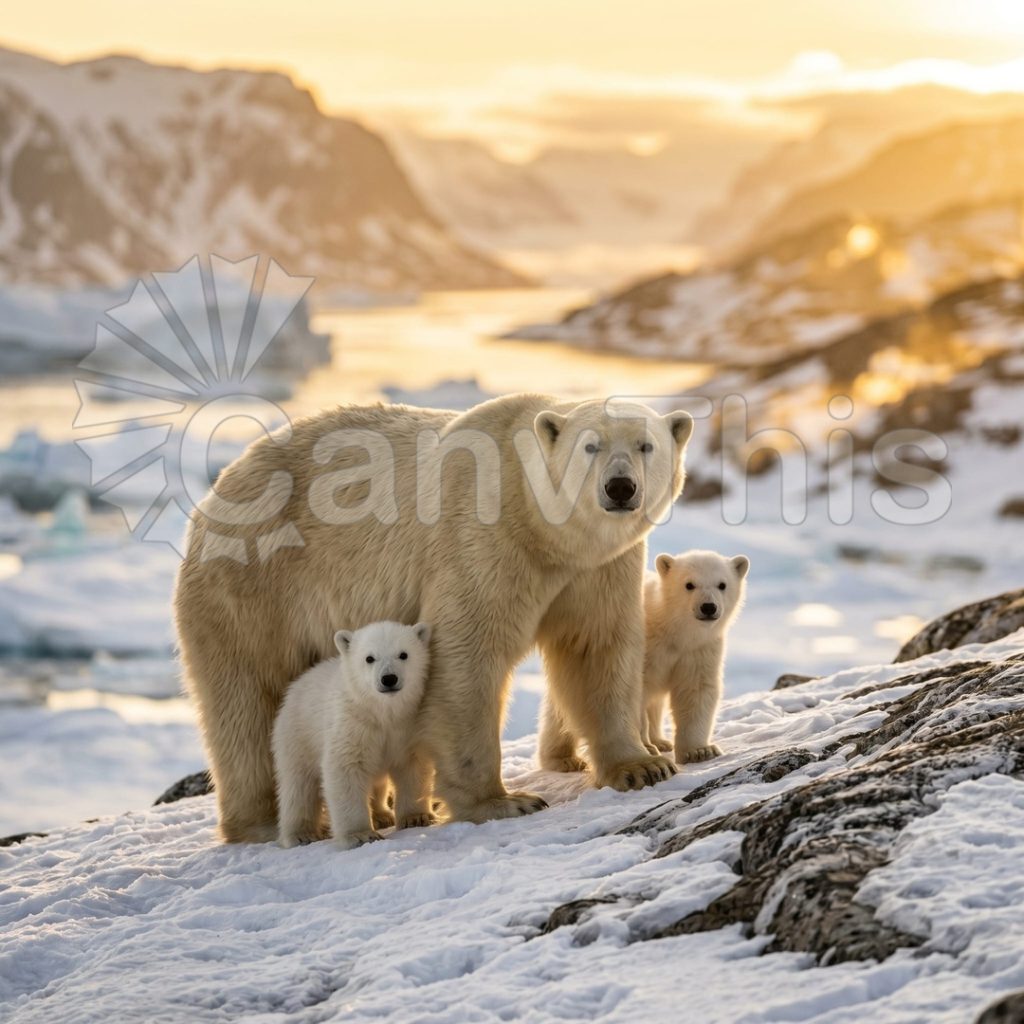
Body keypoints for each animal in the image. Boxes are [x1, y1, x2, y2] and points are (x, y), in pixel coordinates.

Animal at [273, 620, 434, 850]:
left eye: (403, 654)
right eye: (369, 658)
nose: (389, 678)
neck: (382, 713)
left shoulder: (408, 725)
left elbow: (412, 766)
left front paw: (416, 818)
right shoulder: (352, 724)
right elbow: (346, 769)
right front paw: (360, 835)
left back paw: (382, 816)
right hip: (298, 735)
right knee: (298, 786)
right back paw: (301, 834)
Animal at [640, 550, 749, 764]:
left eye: (722, 584)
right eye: (689, 584)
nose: (708, 607)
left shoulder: (698, 650)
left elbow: (696, 690)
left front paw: (699, 751)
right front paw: (645, 748)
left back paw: (661, 741)